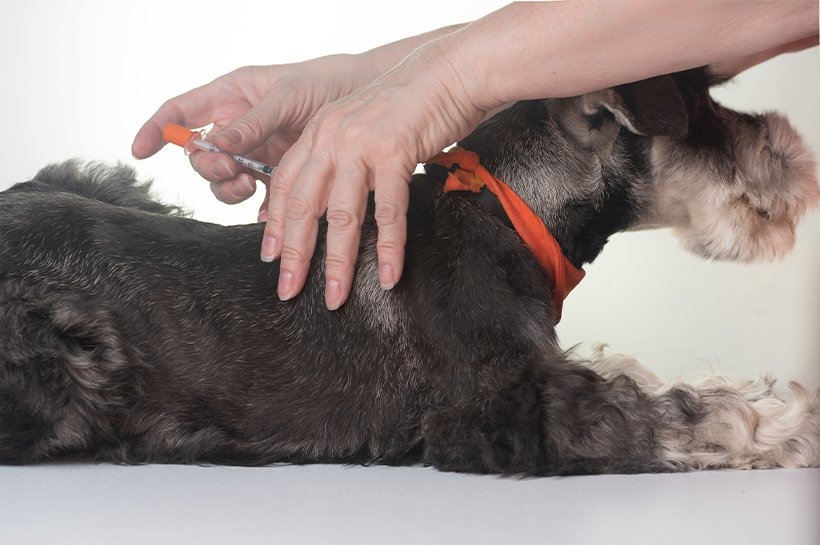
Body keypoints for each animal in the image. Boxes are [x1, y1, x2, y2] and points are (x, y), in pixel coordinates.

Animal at [1, 68, 820, 474]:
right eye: (707, 112)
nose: (791, 150)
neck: (509, 209)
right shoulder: (505, 413)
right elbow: (669, 412)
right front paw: (787, 420)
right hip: (64, 366)